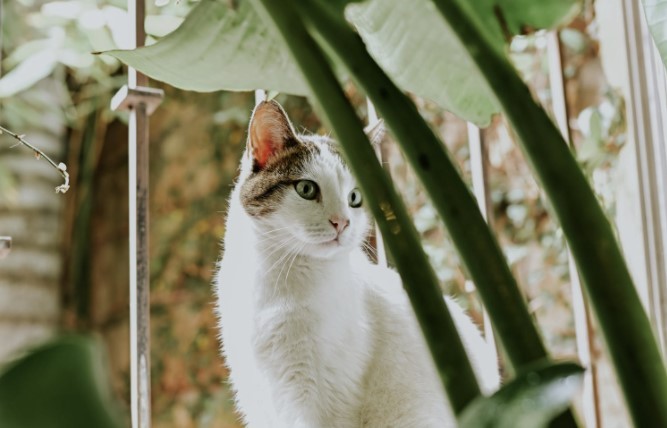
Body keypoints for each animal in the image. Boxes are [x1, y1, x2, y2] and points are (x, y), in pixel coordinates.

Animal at [215, 101, 500, 428]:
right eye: (306, 189)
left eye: (354, 197)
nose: (342, 222)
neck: (276, 279)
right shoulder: (260, 395)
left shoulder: (322, 398)